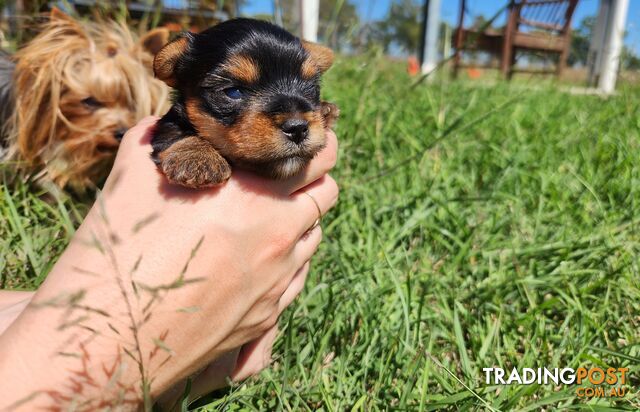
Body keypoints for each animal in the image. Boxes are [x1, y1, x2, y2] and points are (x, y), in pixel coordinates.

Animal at [151, 18, 340, 188]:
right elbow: (172, 130)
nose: (298, 128)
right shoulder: (168, 122)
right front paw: (197, 156)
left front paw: (325, 110)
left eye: (311, 87)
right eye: (233, 91)